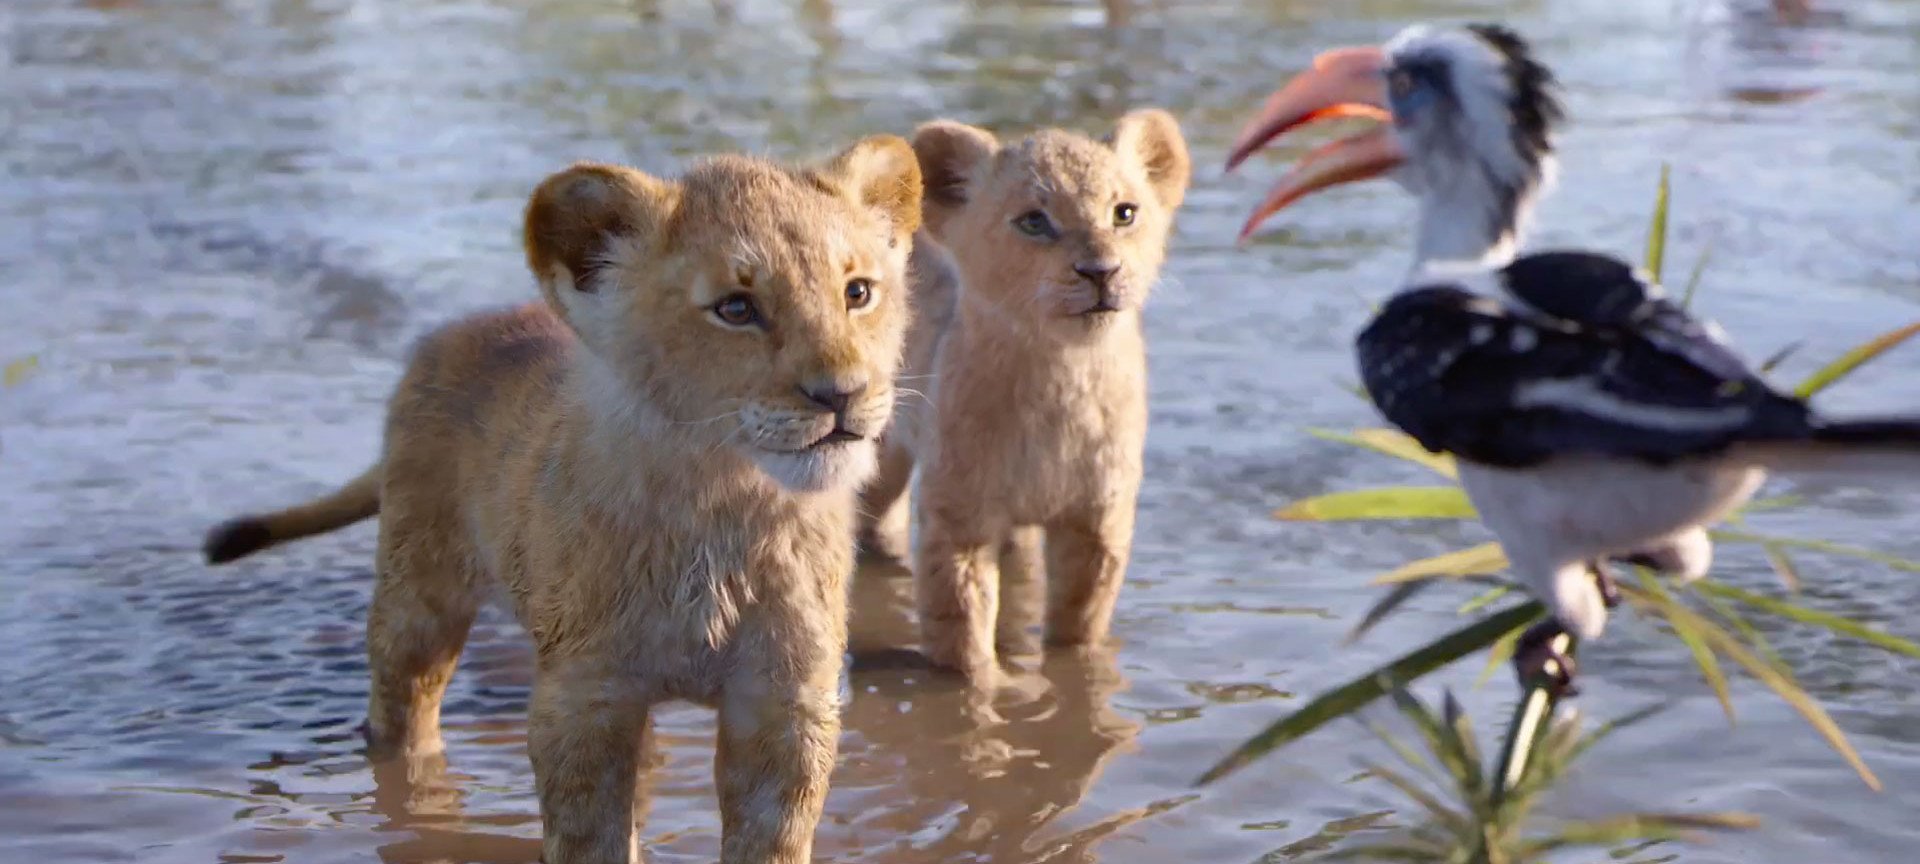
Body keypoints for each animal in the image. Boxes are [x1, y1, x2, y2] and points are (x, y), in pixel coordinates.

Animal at [200, 136, 923, 864]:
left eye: (858, 292)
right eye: (736, 308)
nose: (843, 394)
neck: (725, 504)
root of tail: (457, 332)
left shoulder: (785, 702)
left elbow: (769, 840)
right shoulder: (583, 697)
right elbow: (589, 837)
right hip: (417, 599)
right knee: (401, 709)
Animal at [857, 109, 1191, 682]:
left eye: (1124, 213)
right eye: (1034, 221)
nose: (1101, 272)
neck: (1061, 376)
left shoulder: (1098, 516)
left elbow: (1081, 619)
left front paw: (1076, 675)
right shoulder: (960, 513)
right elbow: (962, 627)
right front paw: (985, 691)